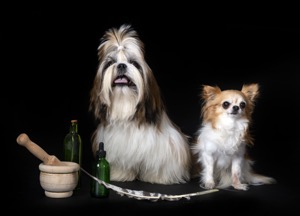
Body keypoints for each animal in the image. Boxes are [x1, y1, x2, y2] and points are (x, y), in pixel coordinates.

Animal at [89, 24, 192, 185]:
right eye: (110, 63)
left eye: (134, 63)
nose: (121, 65)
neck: (125, 105)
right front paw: (120, 174)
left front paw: (159, 177)